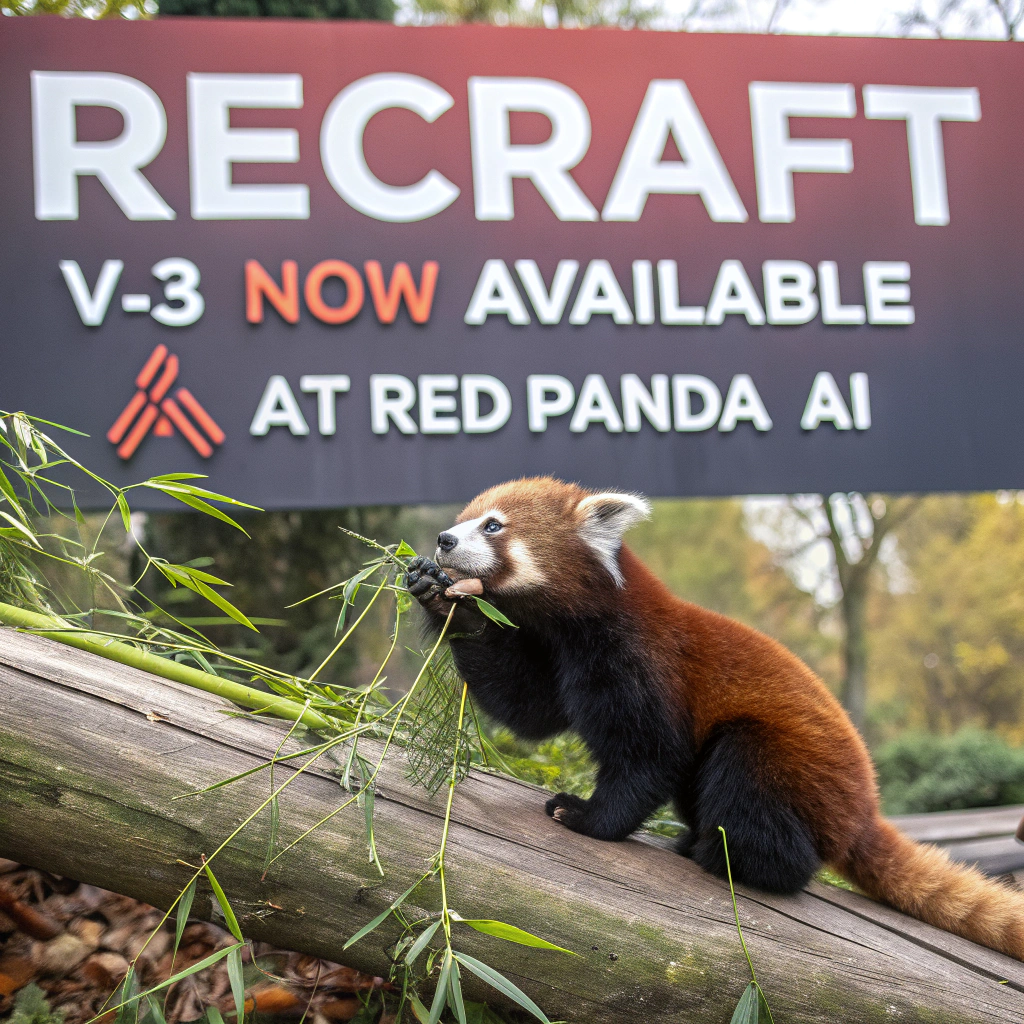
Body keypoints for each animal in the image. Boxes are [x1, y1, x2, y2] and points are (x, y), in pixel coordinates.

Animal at [405, 476, 1024, 961]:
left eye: (493, 526)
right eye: (462, 521)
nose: (443, 539)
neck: (577, 624)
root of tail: (863, 810)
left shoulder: (642, 659)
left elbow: (649, 754)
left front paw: (588, 816)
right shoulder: (556, 657)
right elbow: (528, 708)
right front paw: (440, 596)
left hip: (787, 764)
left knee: (747, 775)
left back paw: (728, 856)